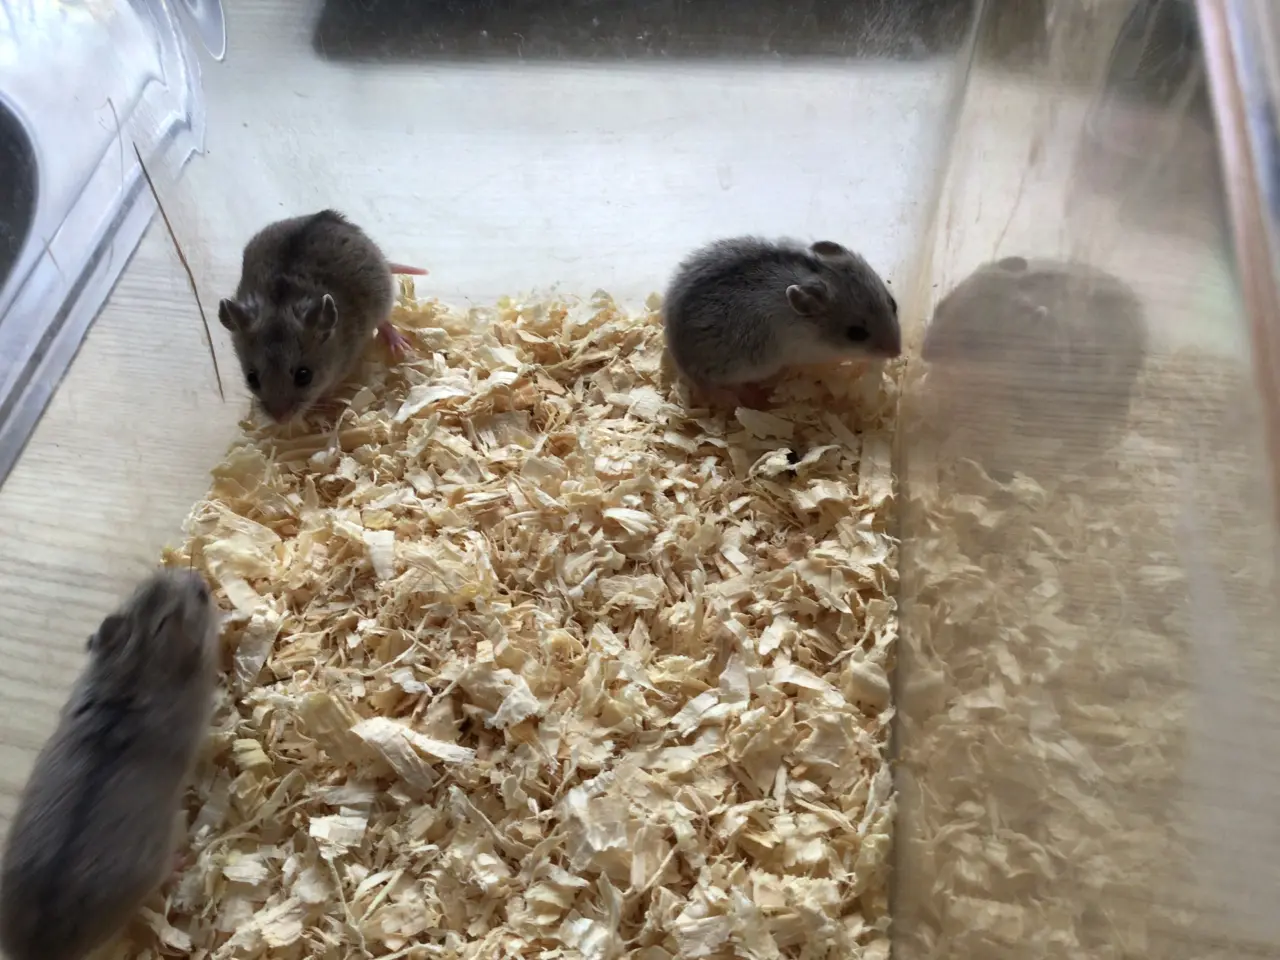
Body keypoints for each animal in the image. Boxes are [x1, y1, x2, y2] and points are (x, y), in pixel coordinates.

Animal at [217, 209, 428, 422]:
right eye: (251, 378)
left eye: (304, 375)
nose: (280, 419)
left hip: (382, 299)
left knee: (384, 322)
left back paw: (399, 344)